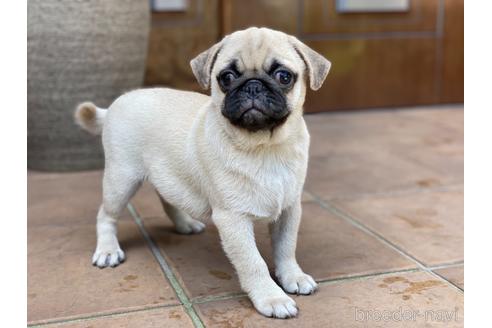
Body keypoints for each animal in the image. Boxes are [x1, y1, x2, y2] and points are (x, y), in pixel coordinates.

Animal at [75, 26, 330, 320]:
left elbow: (286, 248)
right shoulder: (233, 219)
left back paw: (185, 223)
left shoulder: (289, 209)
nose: (253, 85)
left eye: (284, 76)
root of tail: (113, 106)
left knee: (167, 198)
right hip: (121, 179)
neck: (264, 148)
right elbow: (253, 262)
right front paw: (271, 297)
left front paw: (293, 276)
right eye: (226, 77)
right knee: (106, 214)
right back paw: (107, 250)